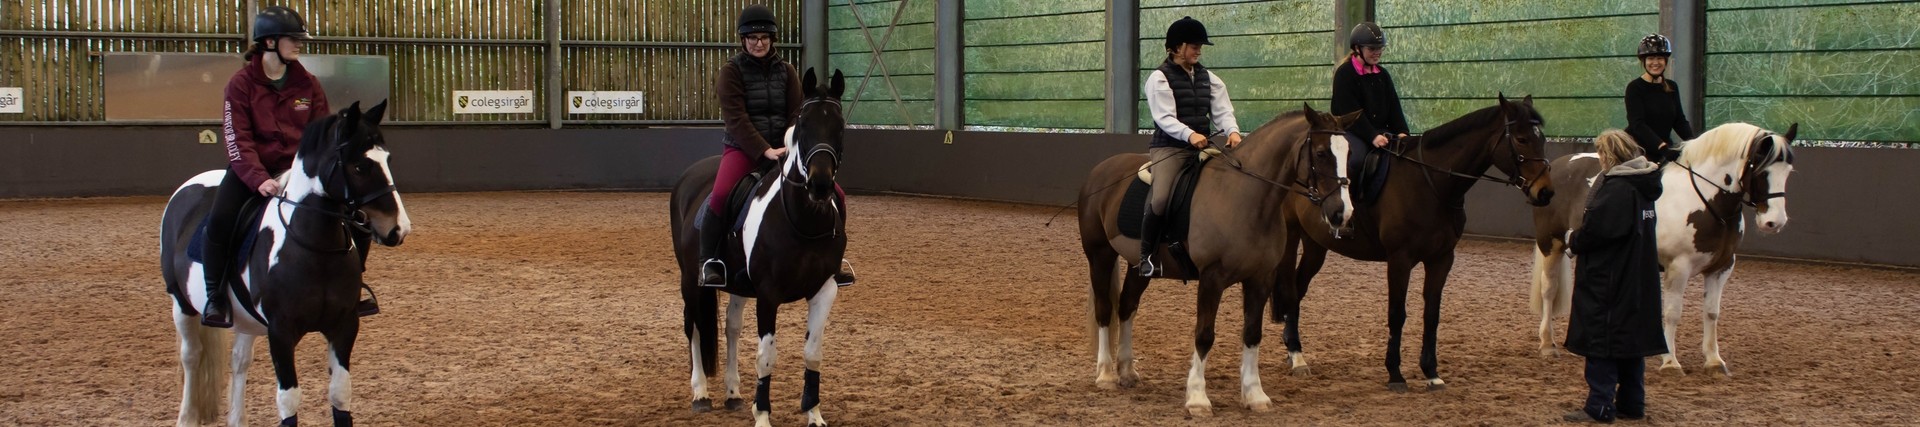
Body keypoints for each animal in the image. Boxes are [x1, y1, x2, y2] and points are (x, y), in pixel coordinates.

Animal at [162, 100, 412, 427]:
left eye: (388, 159)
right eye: (360, 166)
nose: (399, 229)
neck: (314, 248)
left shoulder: (344, 326)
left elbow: (340, 394)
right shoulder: (280, 332)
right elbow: (288, 400)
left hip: (245, 318)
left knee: (239, 361)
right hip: (182, 303)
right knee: (191, 356)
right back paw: (187, 416)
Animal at [675, 68, 848, 425]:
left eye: (839, 126)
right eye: (803, 125)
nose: (820, 184)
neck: (802, 221)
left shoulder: (825, 289)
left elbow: (813, 353)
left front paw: (813, 413)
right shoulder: (768, 295)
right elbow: (766, 357)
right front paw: (764, 415)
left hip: (739, 286)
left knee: (731, 328)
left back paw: (733, 393)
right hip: (690, 281)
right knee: (693, 325)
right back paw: (700, 393)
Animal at [1082, 106, 1367, 417]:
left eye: (1348, 153)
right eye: (1320, 152)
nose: (1342, 213)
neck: (1245, 198)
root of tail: (1100, 171)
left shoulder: (1260, 278)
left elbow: (1252, 334)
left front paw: (1255, 395)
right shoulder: (1211, 278)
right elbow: (1204, 335)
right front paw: (1197, 399)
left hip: (1139, 268)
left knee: (1127, 308)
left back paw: (1127, 372)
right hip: (1099, 255)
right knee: (1104, 311)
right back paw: (1106, 375)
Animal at [1274, 95, 1559, 392]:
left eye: (1541, 138)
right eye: (1521, 139)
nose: (1545, 192)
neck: (1430, 183)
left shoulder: (1442, 259)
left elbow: (1432, 315)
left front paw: (1431, 372)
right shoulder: (1400, 259)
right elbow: (1397, 313)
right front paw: (1395, 374)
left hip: (1316, 245)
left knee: (1299, 287)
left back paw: (1292, 350)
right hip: (1291, 237)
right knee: (1290, 289)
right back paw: (1297, 356)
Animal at [1528, 121, 1797, 375]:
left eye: (1788, 171)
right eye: (1761, 170)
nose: (1775, 222)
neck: (1703, 200)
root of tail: (1559, 166)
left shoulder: (1721, 268)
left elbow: (1712, 312)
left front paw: (1713, 361)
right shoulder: (1679, 267)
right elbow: (1672, 313)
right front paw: (1670, 362)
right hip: (1551, 245)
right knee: (1549, 289)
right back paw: (1547, 344)